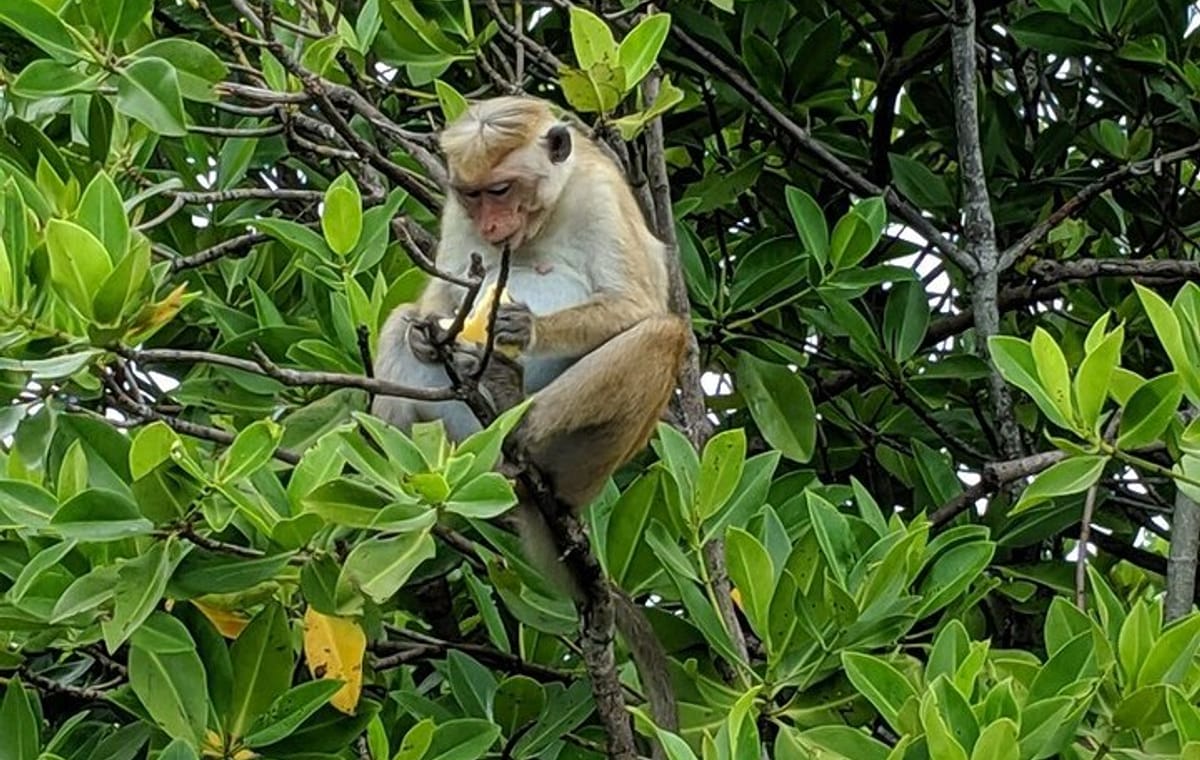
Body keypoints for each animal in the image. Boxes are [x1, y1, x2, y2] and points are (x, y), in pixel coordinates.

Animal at [371, 96, 688, 741]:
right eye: (474, 196)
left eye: (502, 189)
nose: (493, 228)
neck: (548, 214)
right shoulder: (454, 215)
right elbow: (437, 306)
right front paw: (428, 332)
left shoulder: (599, 194)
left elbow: (639, 303)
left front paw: (526, 328)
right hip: (453, 435)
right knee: (396, 323)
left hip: (582, 466)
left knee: (662, 334)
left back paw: (517, 426)